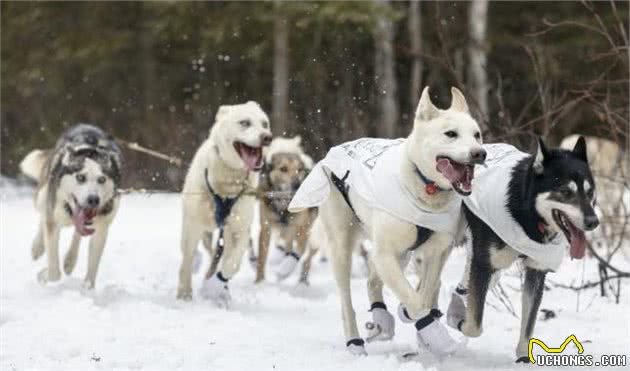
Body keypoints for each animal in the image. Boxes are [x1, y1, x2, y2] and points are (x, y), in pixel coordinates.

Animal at [19, 123, 123, 290]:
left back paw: (70, 260)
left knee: (78, 233)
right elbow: (54, 271)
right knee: (43, 216)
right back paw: (38, 247)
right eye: (80, 177)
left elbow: (92, 268)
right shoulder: (53, 221)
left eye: (102, 179)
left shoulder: (101, 229)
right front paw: (44, 275)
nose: (93, 199)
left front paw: (87, 290)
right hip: (43, 195)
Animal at [179, 101, 276, 306]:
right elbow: (186, 261)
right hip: (199, 228)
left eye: (265, 124)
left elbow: (233, 264)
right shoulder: (192, 226)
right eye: (245, 122)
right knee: (194, 254)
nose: (267, 137)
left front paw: (216, 285)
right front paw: (184, 293)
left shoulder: (239, 229)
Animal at [256, 137, 318, 284]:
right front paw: (259, 282)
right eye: (283, 169)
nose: (298, 185)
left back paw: (302, 281)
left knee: (307, 258)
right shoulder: (265, 228)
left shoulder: (303, 228)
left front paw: (285, 269)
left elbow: (299, 251)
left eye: (299, 169)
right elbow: (262, 258)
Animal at [288, 88, 486, 358]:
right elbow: (414, 300)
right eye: (451, 134)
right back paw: (355, 341)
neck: (424, 186)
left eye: (477, 135)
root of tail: (333, 152)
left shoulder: (436, 252)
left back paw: (383, 319)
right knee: (347, 301)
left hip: (399, 254)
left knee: (373, 281)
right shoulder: (386, 255)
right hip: (342, 248)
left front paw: (419, 322)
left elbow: (425, 292)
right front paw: (432, 332)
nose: (479, 153)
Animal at [446, 137, 600, 364]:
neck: (528, 215)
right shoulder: (484, 264)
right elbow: (474, 326)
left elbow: (529, 323)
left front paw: (523, 357)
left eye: (590, 192)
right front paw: (458, 320)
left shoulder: (536, 272)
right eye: (566, 192)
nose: (593, 222)